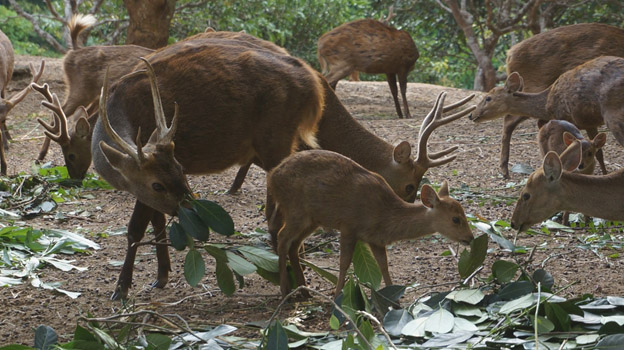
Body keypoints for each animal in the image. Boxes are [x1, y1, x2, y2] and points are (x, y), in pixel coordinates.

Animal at [94, 38, 326, 300]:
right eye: (158, 184)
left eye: (180, 167)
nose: (193, 210)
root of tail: (314, 86)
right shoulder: (145, 191)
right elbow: (158, 222)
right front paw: (161, 276)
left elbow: (135, 229)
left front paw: (121, 288)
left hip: (277, 139)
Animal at [270, 150, 472, 298]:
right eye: (455, 218)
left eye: (464, 213)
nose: (470, 238)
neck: (383, 217)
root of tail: (272, 178)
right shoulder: (349, 226)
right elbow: (344, 263)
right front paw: (337, 296)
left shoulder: (375, 239)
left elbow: (383, 265)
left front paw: (394, 300)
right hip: (295, 209)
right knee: (282, 237)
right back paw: (285, 290)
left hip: (312, 219)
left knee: (294, 245)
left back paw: (304, 290)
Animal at [470, 22, 624, 178]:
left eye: (488, 98)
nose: (472, 115)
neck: (547, 104)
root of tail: (510, 54)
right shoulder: (585, 121)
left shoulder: (579, 119)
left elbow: (596, 151)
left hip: (612, 114)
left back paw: (505, 170)